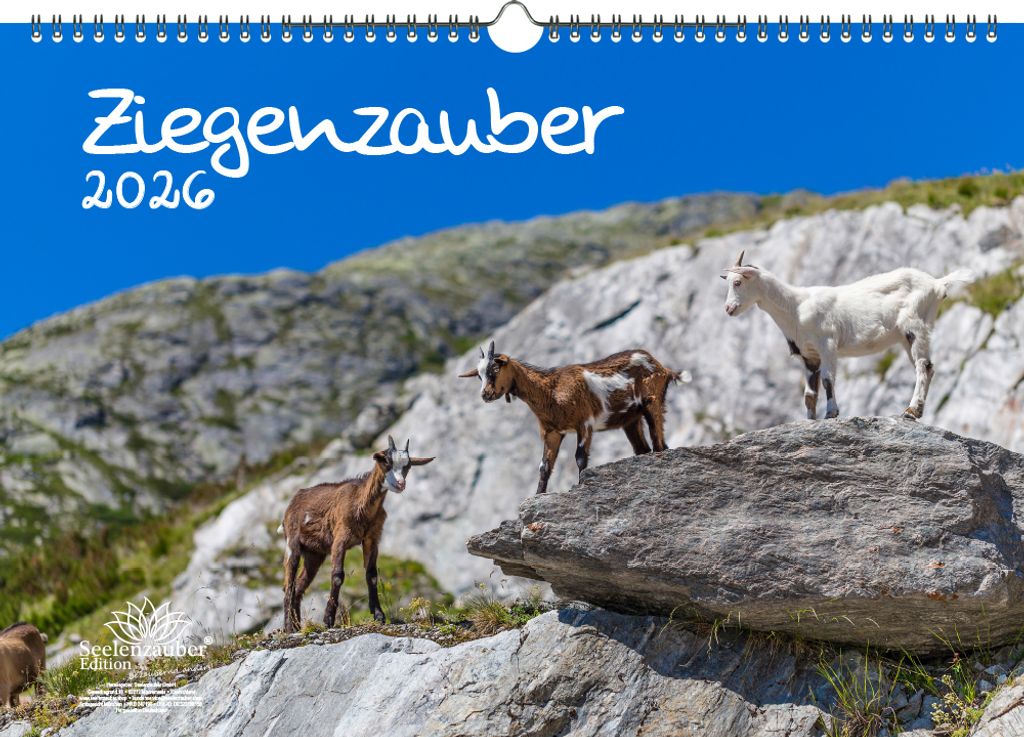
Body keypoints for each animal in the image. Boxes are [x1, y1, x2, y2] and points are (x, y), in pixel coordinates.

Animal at [279, 436, 434, 633]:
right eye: (386, 462)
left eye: (408, 466)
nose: (400, 484)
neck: (362, 504)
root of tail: (293, 502)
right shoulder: (340, 538)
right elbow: (337, 576)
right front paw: (328, 620)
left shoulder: (372, 539)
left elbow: (372, 575)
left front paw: (379, 615)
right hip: (292, 543)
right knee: (288, 585)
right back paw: (288, 628)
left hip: (314, 554)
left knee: (299, 586)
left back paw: (298, 626)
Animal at [459, 341, 680, 495]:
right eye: (478, 375)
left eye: (495, 369)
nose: (485, 395)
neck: (551, 390)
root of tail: (663, 367)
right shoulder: (553, 432)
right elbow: (544, 467)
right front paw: (538, 495)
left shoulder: (585, 423)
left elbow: (580, 458)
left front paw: (581, 485)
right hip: (630, 419)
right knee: (643, 448)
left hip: (652, 401)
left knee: (659, 442)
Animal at [721, 250, 972, 420]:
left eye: (738, 282)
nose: (728, 309)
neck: (795, 306)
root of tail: (938, 283)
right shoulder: (808, 355)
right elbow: (809, 393)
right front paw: (810, 421)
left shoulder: (827, 344)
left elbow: (827, 380)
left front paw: (831, 413)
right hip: (905, 336)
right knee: (928, 367)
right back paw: (917, 411)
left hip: (915, 325)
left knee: (922, 366)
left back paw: (911, 410)